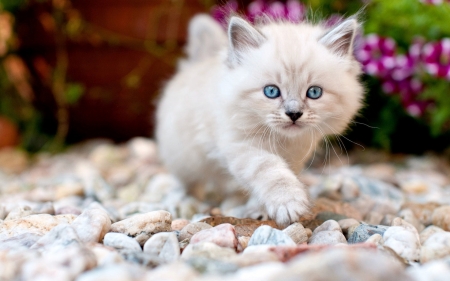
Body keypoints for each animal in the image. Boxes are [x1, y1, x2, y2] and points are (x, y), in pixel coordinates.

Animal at [156, 14, 364, 226]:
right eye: (271, 91)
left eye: (314, 92)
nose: (294, 114)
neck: (283, 141)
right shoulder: (241, 146)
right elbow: (271, 171)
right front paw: (289, 203)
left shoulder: (296, 156)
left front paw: (259, 211)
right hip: (183, 157)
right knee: (187, 182)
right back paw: (185, 203)